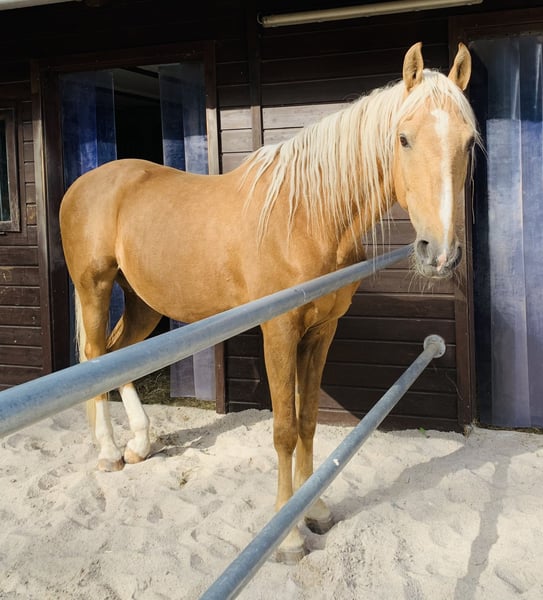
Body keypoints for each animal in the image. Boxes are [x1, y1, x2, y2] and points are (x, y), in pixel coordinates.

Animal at [59, 42, 479, 562]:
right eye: (403, 138)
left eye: (468, 142)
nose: (439, 253)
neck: (308, 216)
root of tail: (84, 184)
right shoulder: (279, 332)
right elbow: (283, 429)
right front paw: (289, 535)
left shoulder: (321, 332)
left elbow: (309, 421)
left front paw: (314, 509)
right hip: (94, 288)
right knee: (95, 355)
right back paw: (109, 453)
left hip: (144, 302)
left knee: (119, 357)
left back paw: (138, 443)